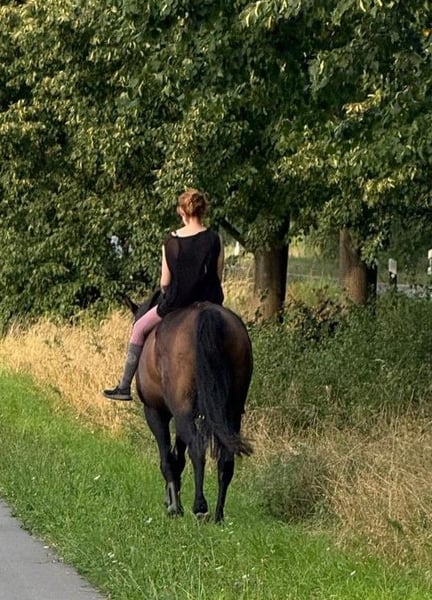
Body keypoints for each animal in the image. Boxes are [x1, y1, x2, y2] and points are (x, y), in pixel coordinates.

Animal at [128, 297, 253, 522]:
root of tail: (208, 314)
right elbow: (178, 458)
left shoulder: (155, 412)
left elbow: (168, 459)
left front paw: (174, 507)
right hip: (231, 412)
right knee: (226, 459)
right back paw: (218, 515)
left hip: (180, 409)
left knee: (196, 447)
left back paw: (200, 506)